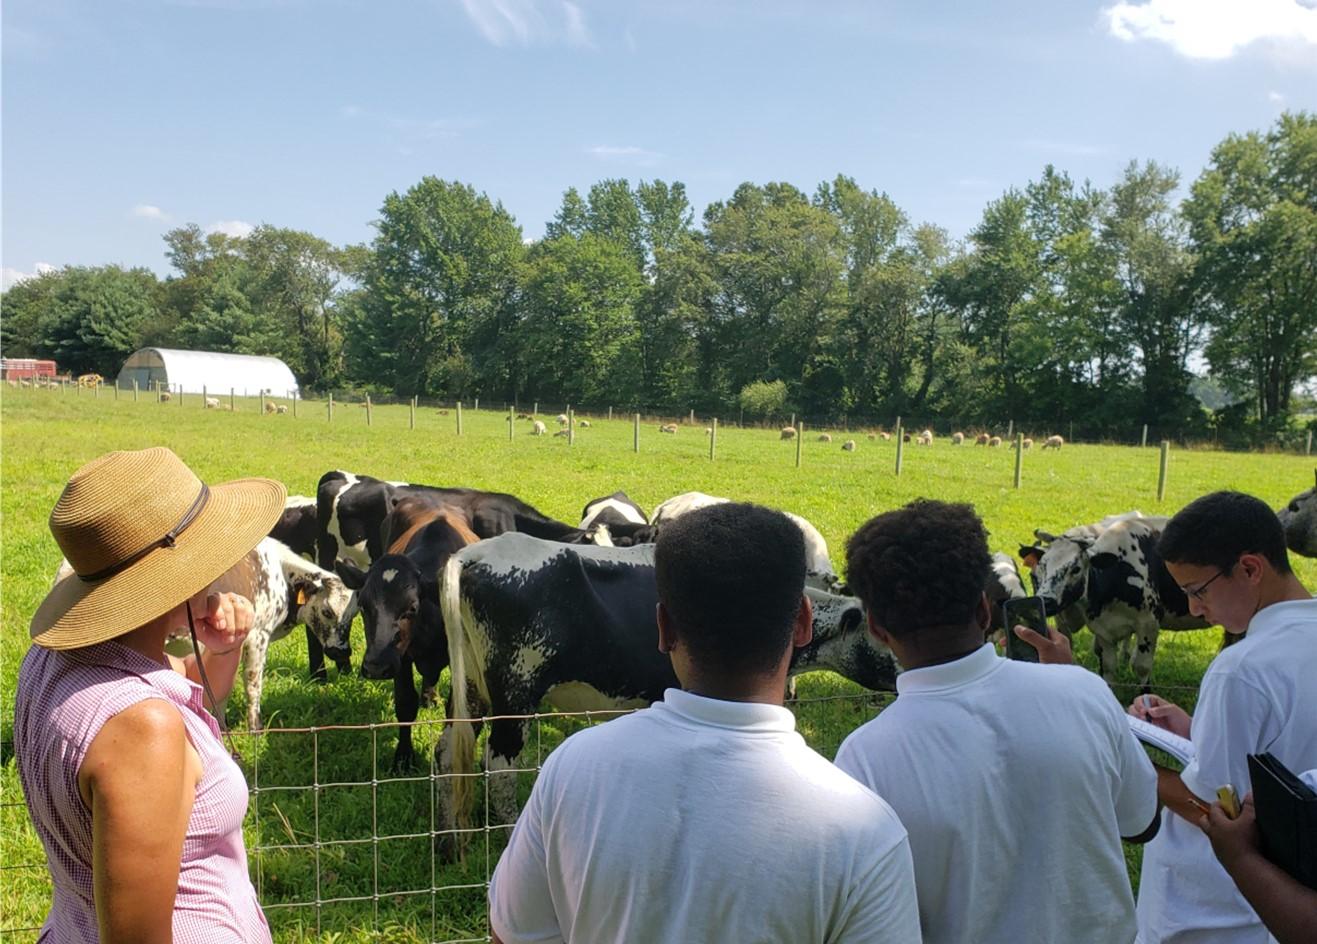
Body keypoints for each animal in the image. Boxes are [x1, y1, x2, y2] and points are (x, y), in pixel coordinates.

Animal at [337, 500, 482, 763]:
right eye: (363, 605)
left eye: (412, 608)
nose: (376, 666)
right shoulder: (400, 659)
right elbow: (405, 704)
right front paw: (403, 757)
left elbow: (455, 710)